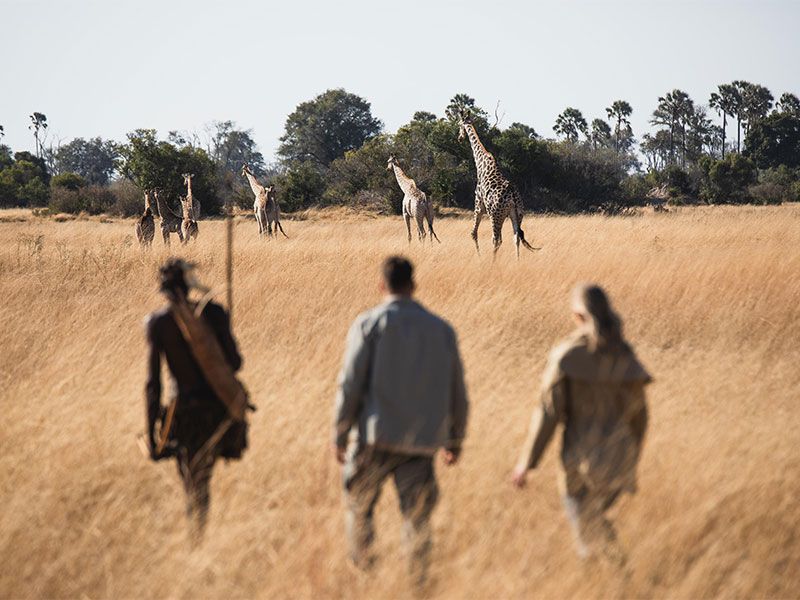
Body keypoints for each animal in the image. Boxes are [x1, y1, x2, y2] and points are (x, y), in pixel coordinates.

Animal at [457, 110, 539, 258]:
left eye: (459, 124)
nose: (459, 138)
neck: (480, 163)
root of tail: (513, 196)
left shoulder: (478, 203)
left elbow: (473, 233)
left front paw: (479, 258)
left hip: (496, 216)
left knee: (496, 239)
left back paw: (492, 261)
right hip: (517, 214)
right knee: (516, 238)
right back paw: (517, 261)